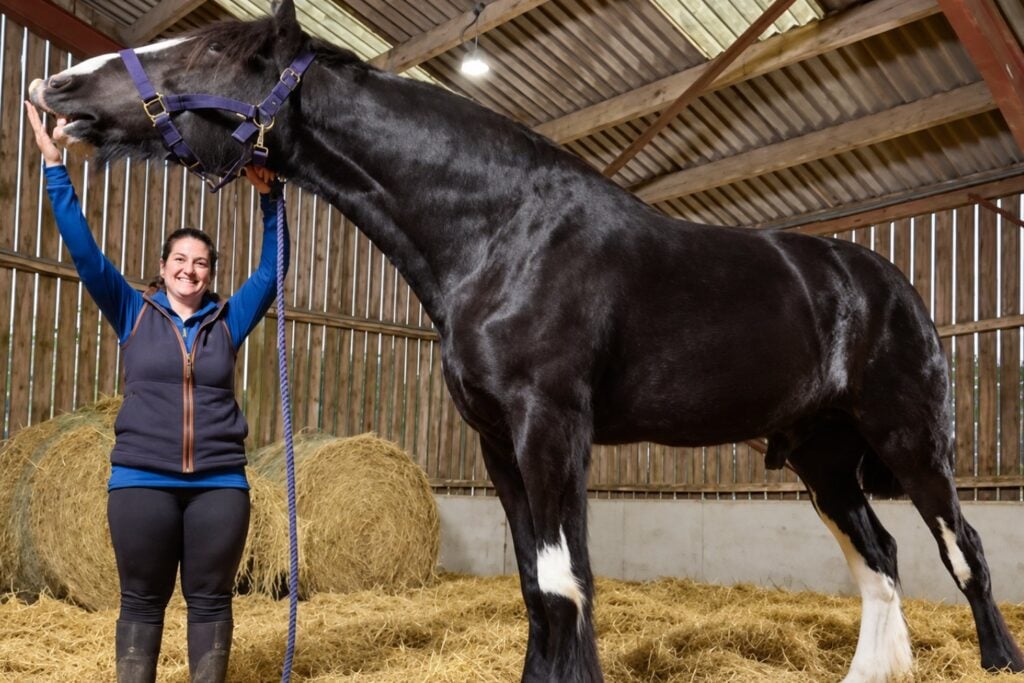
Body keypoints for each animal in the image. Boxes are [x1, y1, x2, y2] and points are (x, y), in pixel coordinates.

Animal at [27, 1, 1024, 681]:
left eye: (213, 51)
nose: (56, 88)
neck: (502, 231)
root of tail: (889, 284)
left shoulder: (552, 427)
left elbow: (563, 579)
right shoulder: (497, 442)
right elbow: (533, 585)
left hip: (911, 441)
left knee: (962, 548)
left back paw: (997, 657)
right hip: (822, 458)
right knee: (881, 558)